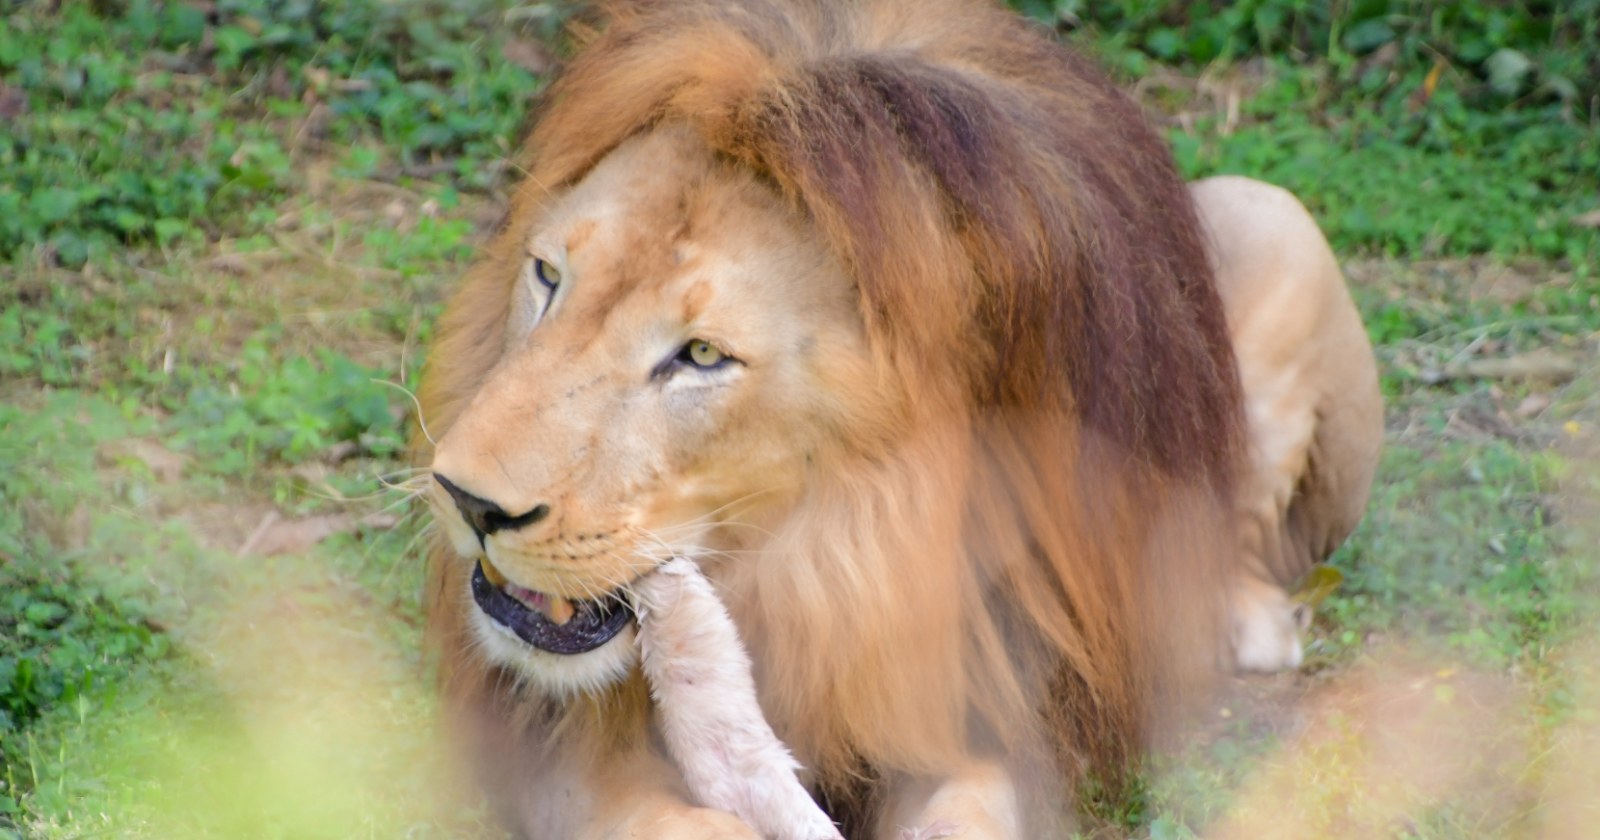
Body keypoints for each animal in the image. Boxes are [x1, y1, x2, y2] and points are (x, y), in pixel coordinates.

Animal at [413, 1, 1382, 837]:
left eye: (701, 356)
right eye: (548, 277)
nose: (470, 502)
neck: (820, 553)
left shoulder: (1002, 696)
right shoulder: (546, 739)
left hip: (1273, 213)